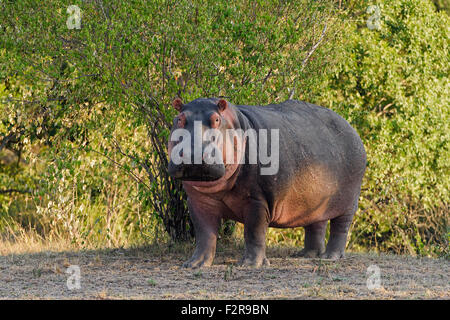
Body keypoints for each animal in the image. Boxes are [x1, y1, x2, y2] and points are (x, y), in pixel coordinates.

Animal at [168, 97, 366, 268]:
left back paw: (330, 257)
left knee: (341, 227)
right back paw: (306, 255)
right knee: (316, 223)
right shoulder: (197, 201)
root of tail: (351, 127)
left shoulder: (257, 199)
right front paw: (194, 264)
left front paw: (250, 264)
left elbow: (254, 231)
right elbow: (204, 233)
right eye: (179, 119)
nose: (192, 154)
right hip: (315, 200)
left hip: (348, 202)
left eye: (216, 119)